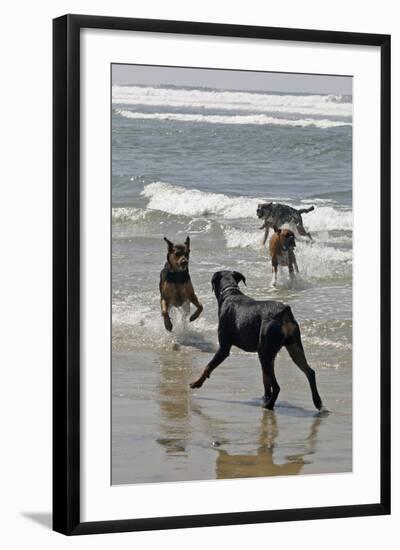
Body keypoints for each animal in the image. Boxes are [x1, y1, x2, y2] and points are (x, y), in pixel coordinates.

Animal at [188, 272, 324, 414]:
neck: (230, 292)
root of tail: (284, 313)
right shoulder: (270, 355)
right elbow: (265, 380)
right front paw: (265, 396)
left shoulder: (224, 348)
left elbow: (208, 366)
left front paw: (196, 383)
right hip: (293, 347)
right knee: (309, 372)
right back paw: (317, 402)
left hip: (265, 352)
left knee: (277, 386)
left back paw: (269, 405)